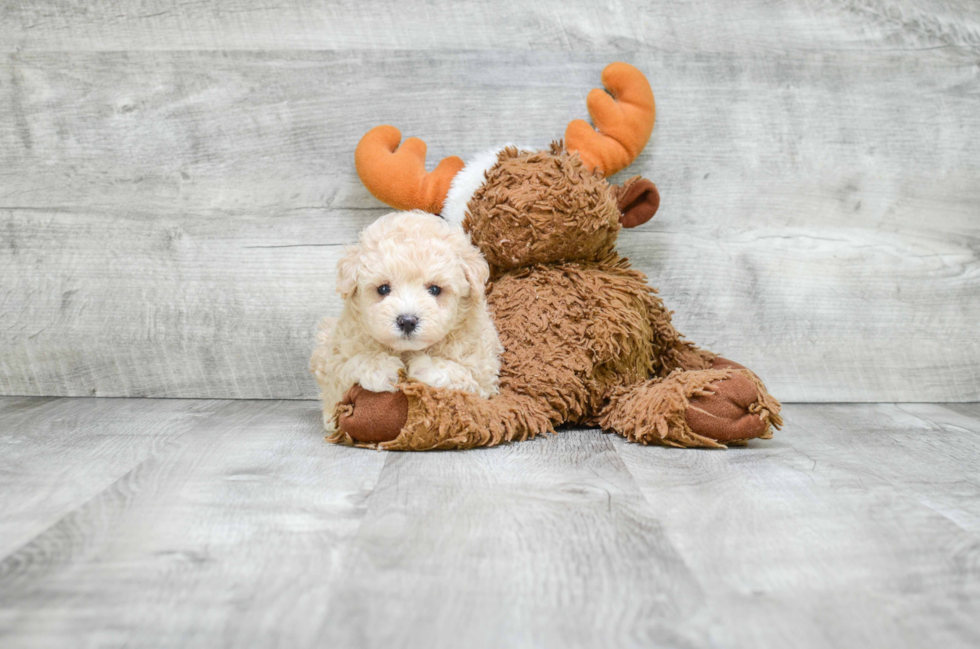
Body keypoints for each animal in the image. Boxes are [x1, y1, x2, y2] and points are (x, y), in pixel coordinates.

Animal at [312, 210, 502, 428]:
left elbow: (462, 374)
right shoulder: (335, 359)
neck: (406, 350)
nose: (407, 321)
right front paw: (381, 368)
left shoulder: (483, 377)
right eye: (383, 289)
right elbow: (348, 368)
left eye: (435, 289)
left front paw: (423, 366)